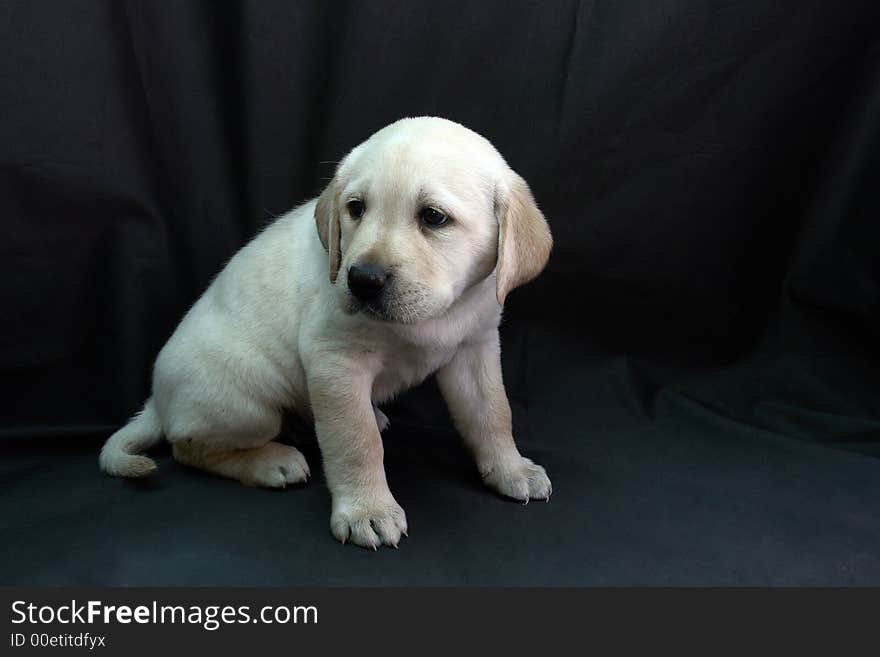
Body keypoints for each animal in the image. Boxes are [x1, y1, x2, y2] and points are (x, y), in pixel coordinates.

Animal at [101, 116, 552, 548]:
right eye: (356, 208)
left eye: (434, 217)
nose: (362, 280)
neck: (439, 315)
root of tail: (158, 401)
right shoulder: (336, 361)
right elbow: (356, 441)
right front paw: (367, 510)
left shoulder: (475, 347)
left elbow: (494, 413)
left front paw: (511, 468)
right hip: (247, 404)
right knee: (189, 447)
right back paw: (269, 461)